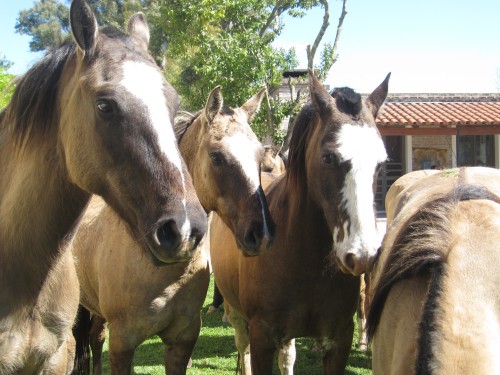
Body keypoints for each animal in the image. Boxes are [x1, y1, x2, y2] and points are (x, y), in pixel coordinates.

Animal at [71, 86, 274, 375]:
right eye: (216, 156)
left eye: (259, 156)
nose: (262, 233)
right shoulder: (122, 343)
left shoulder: (182, 340)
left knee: (95, 338)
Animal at [209, 70, 388, 374]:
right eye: (328, 157)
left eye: (381, 163)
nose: (363, 256)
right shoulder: (262, 338)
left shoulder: (338, 340)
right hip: (238, 317)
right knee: (242, 347)